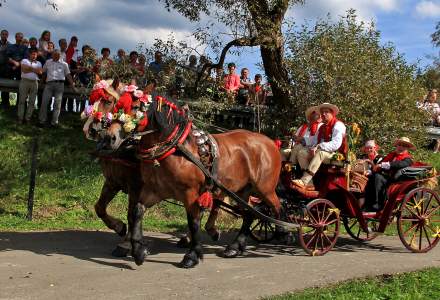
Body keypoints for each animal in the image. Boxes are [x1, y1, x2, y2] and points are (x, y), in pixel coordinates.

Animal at [105, 98, 280, 268]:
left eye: (135, 106)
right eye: (116, 104)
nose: (110, 137)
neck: (176, 150)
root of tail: (271, 142)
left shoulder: (190, 194)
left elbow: (193, 223)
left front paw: (192, 256)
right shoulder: (155, 191)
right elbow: (136, 212)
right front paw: (138, 251)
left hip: (265, 190)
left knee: (276, 209)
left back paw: (283, 234)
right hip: (242, 191)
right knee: (250, 214)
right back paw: (235, 247)